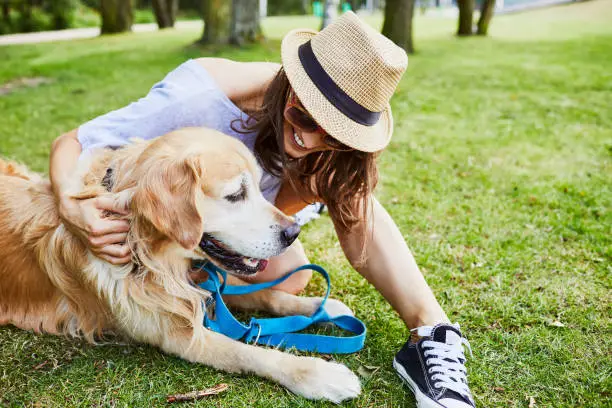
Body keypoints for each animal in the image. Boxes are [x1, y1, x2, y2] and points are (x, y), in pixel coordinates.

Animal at [0, 127, 360, 402]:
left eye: (259, 188)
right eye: (235, 195)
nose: (292, 232)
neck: (147, 251)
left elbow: (267, 294)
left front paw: (321, 307)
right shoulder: (177, 335)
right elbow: (250, 352)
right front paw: (320, 374)